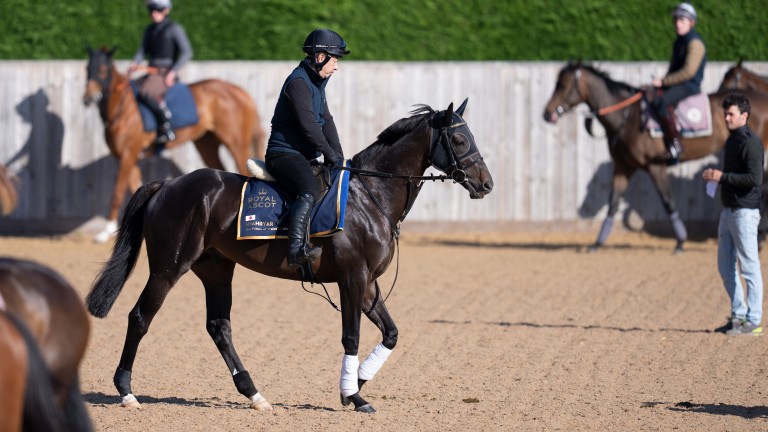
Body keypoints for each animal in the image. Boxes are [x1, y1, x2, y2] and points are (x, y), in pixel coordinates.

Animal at [83, 47, 268, 245]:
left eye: (103, 69)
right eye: (88, 68)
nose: (88, 98)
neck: (123, 108)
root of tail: (240, 92)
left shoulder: (127, 155)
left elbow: (117, 192)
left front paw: (104, 232)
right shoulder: (130, 159)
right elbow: (135, 186)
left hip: (236, 143)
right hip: (207, 144)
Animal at [84, 99, 492, 414]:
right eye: (459, 139)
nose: (486, 184)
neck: (370, 194)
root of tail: (168, 185)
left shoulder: (369, 284)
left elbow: (390, 334)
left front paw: (356, 385)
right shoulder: (352, 278)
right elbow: (351, 337)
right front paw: (353, 394)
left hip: (216, 269)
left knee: (219, 327)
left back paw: (255, 395)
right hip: (169, 268)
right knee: (140, 317)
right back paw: (127, 392)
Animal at [540, 63, 768, 253]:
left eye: (562, 85)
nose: (547, 113)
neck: (628, 117)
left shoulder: (655, 167)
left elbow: (668, 202)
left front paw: (680, 242)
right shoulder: (623, 168)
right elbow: (613, 204)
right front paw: (597, 243)